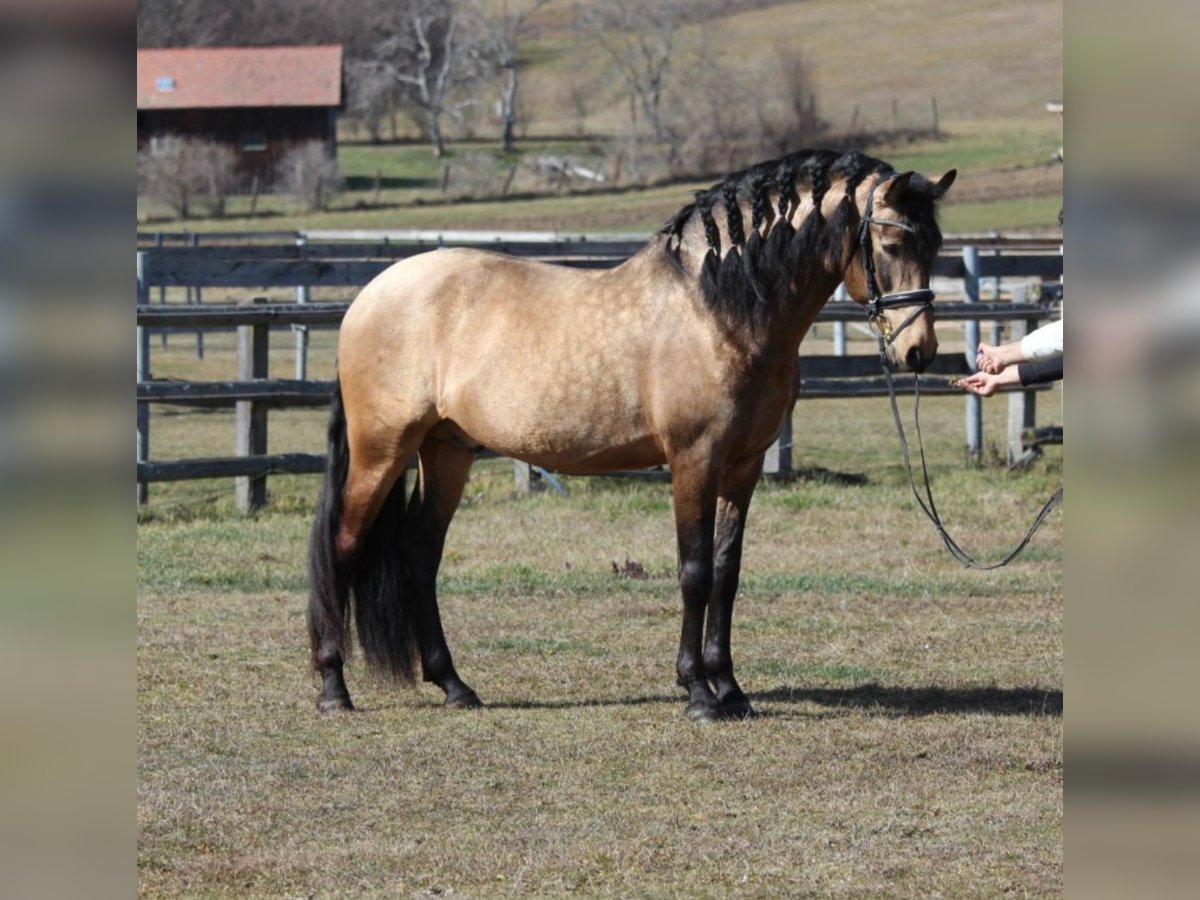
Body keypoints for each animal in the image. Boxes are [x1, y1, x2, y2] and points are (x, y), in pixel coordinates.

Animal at [307, 150, 955, 724]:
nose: (918, 351)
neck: (718, 308)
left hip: (446, 452)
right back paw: (334, 688)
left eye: (936, 245)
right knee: (342, 545)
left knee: (419, 553)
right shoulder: (694, 460)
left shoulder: (743, 466)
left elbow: (727, 573)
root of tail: (369, 296)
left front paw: (732, 690)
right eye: (892, 244)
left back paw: (454, 686)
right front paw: (698, 693)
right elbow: (694, 571)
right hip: (381, 450)